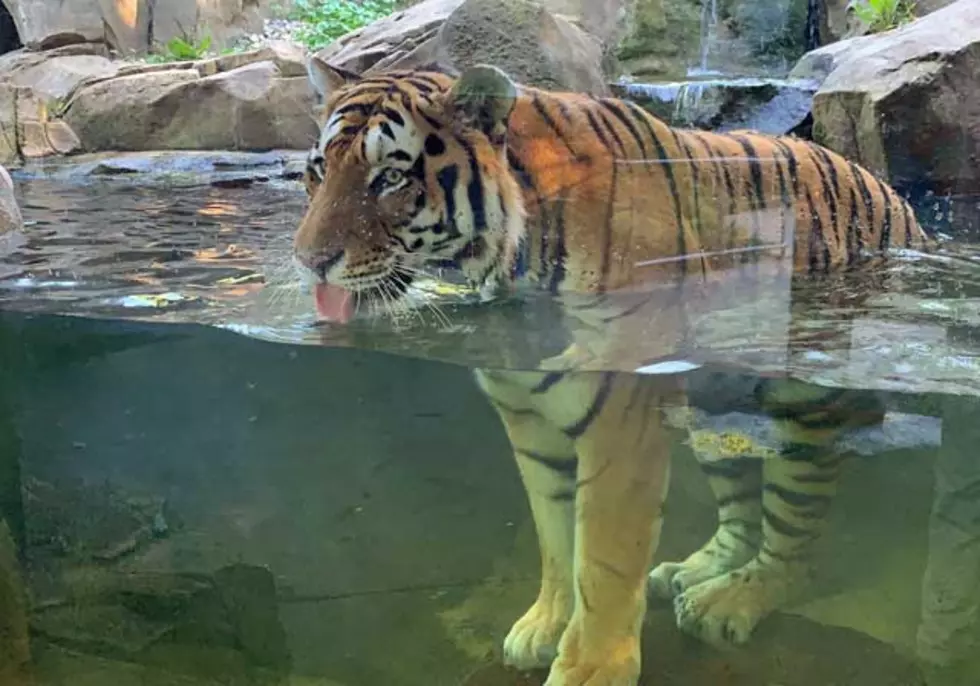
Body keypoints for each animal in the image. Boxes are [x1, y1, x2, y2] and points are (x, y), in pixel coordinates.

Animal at [291, 55, 929, 686]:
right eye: (317, 171)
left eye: (390, 179)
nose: (310, 261)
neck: (505, 258)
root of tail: (898, 200)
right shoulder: (526, 420)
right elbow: (554, 535)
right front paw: (545, 627)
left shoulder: (622, 417)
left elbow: (603, 556)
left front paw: (590, 667)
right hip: (714, 410)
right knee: (740, 506)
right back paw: (695, 572)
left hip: (804, 410)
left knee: (795, 541)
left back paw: (731, 601)